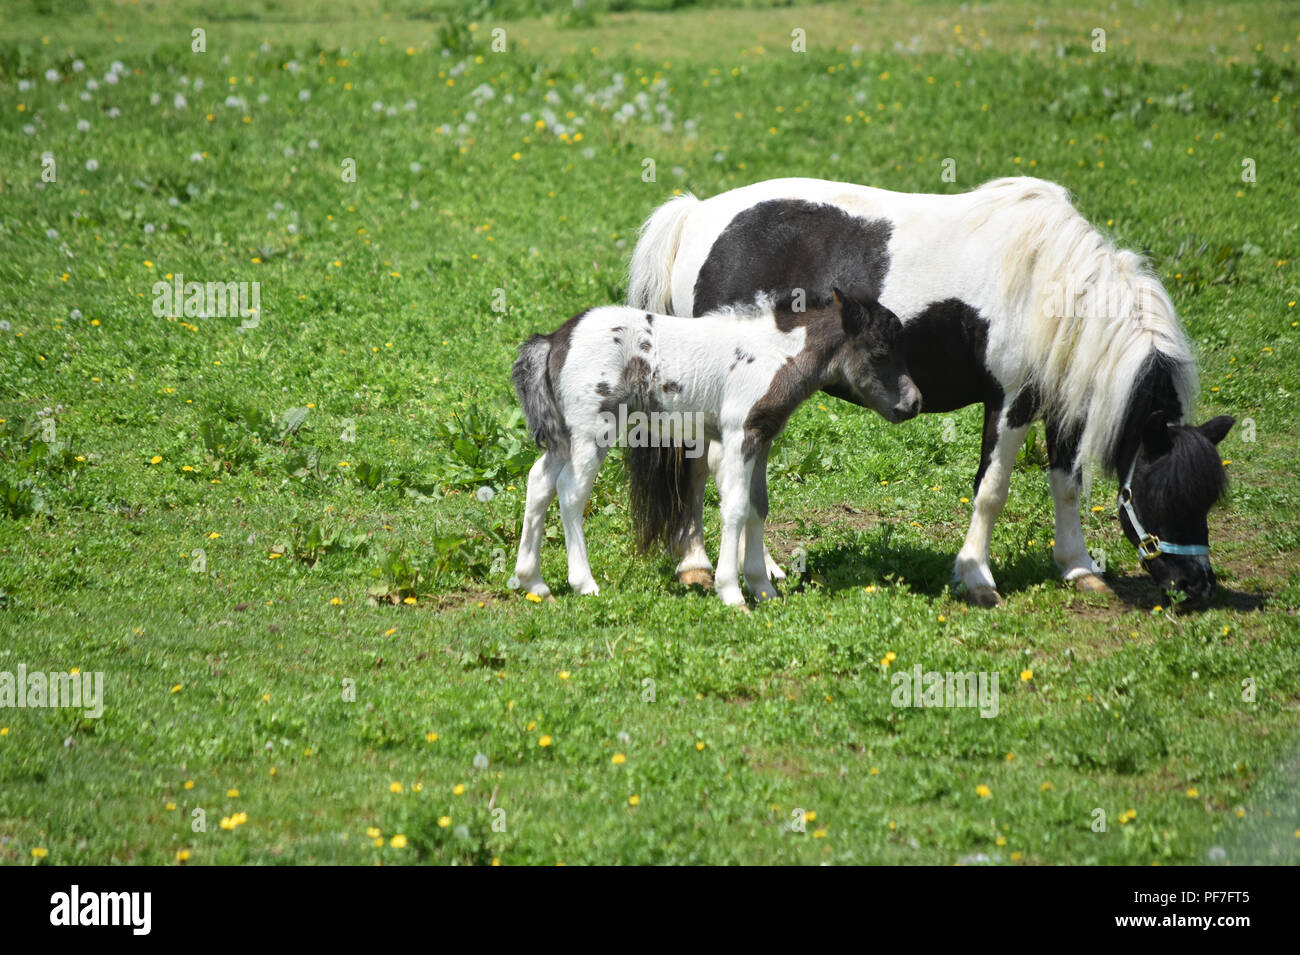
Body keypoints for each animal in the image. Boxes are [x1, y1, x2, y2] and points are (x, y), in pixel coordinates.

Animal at [510, 292, 920, 606]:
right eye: (879, 351)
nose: (913, 403)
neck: (775, 356)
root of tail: (555, 338)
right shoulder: (738, 436)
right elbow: (735, 508)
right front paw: (732, 592)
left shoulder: (762, 439)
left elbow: (758, 506)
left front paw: (763, 587)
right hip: (592, 432)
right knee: (570, 492)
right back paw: (584, 583)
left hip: (564, 437)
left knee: (539, 483)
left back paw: (534, 582)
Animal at [627, 176, 1234, 605]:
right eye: (1164, 493)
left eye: (1206, 498)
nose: (1197, 587)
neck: (1052, 283)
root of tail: (695, 215)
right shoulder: (1012, 401)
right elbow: (992, 490)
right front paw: (976, 576)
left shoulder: (1062, 401)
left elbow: (1066, 484)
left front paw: (1079, 568)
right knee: (707, 466)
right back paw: (709, 567)